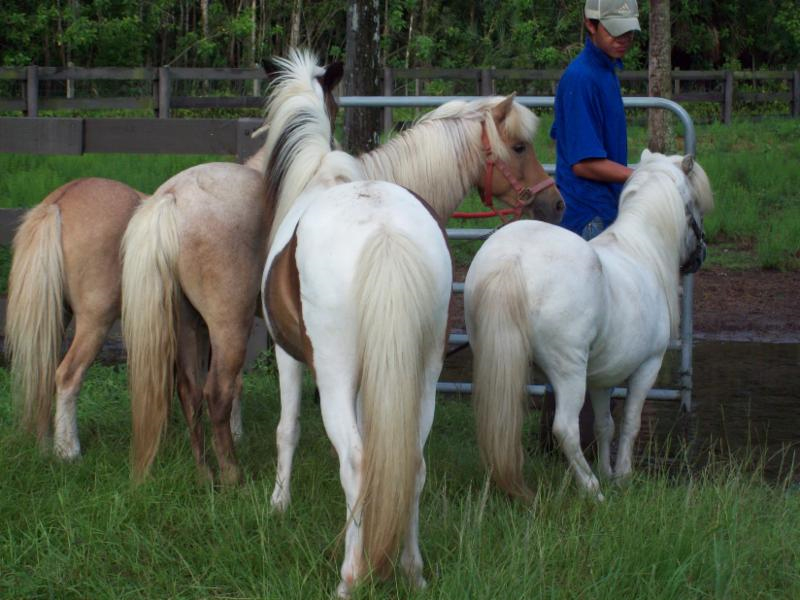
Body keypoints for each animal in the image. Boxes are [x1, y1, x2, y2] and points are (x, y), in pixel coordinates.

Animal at [465, 150, 714, 501]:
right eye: (695, 206)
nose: (700, 255)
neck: (641, 251)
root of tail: (512, 261)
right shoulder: (647, 367)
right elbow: (630, 423)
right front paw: (621, 478)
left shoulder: (600, 377)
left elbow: (604, 425)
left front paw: (608, 472)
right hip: (568, 371)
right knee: (565, 428)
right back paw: (592, 490)